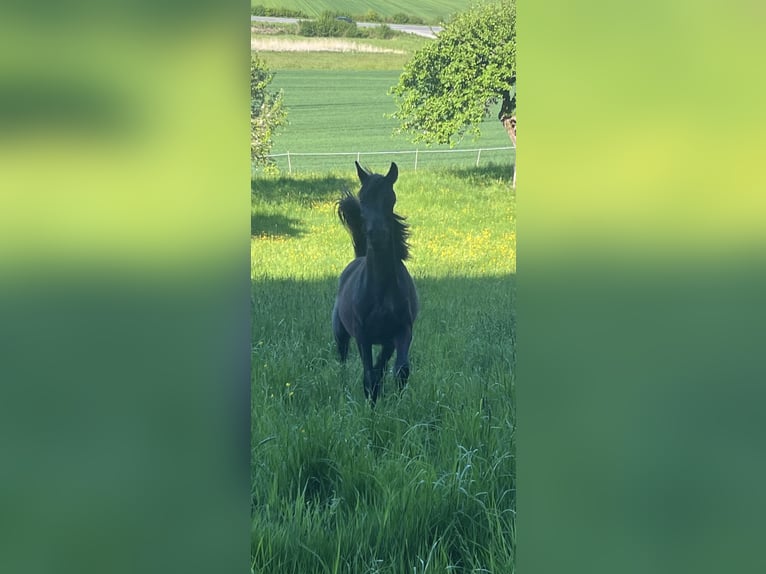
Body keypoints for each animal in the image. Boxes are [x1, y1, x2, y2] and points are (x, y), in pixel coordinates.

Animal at [332, 161, 419, 404]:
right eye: (363, 199)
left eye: (390, 199)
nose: (377, 235)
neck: (381, 291)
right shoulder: (363, 336)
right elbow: (369, 375)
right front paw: (371, 405)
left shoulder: (401, 332)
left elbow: (399, 370)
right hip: (340, 333)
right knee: (342, 359)